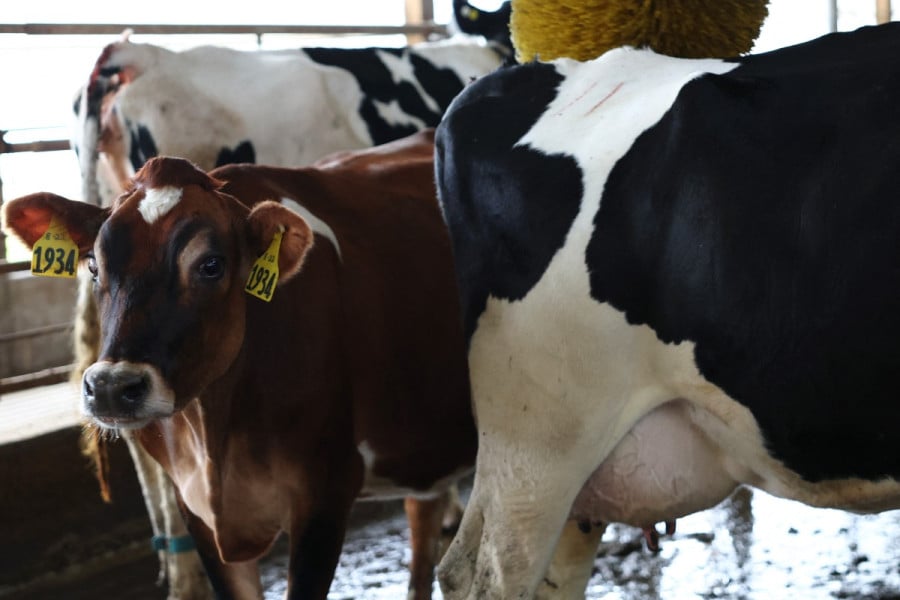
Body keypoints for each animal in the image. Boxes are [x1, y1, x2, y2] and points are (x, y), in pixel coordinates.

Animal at [3, 130, 476, 599]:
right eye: (94, 265)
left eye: (211, 265)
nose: (110, 387)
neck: (216, 438)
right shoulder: (194, 507)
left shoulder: (326, 491)